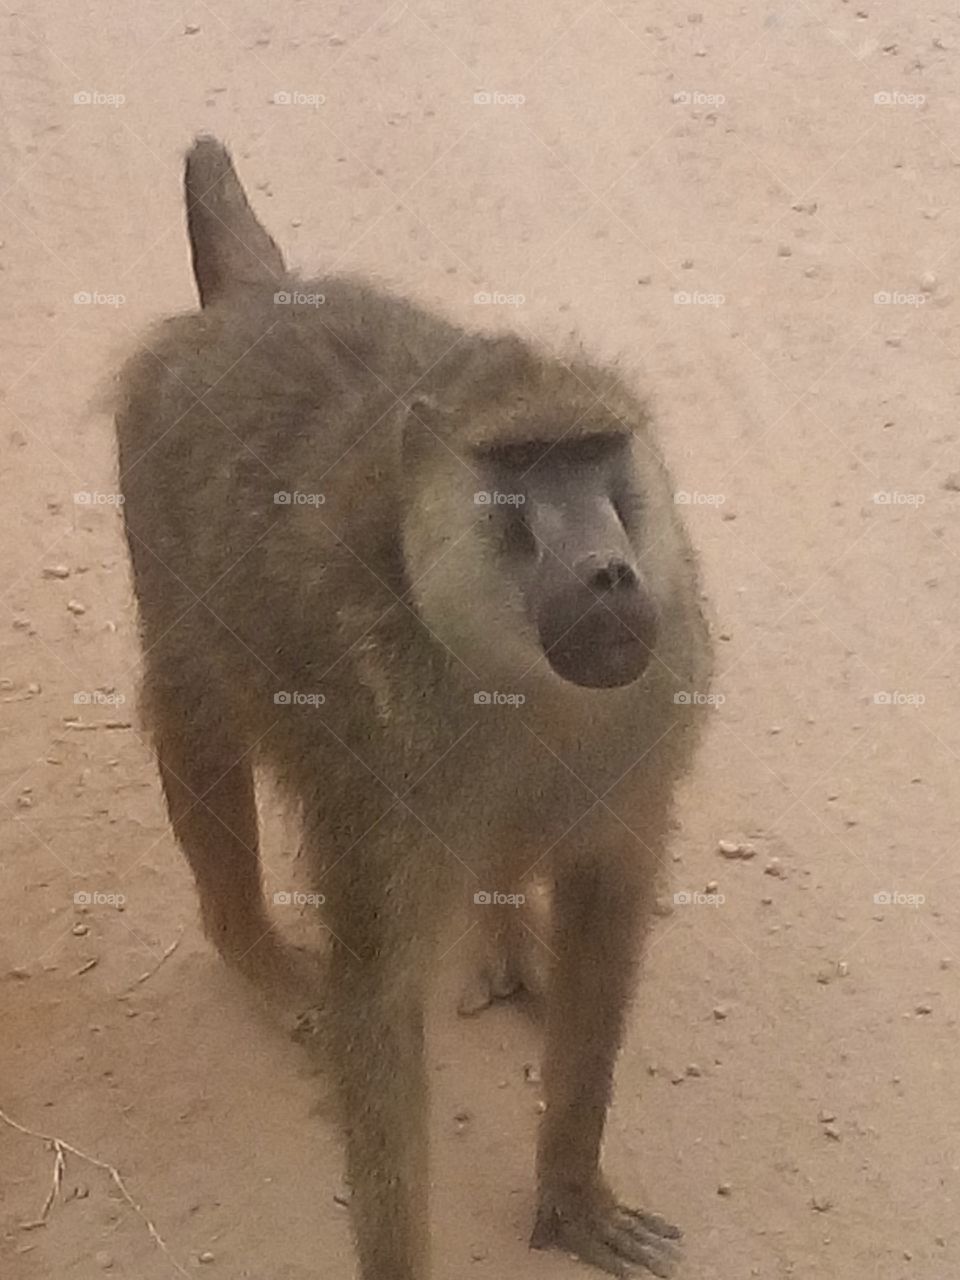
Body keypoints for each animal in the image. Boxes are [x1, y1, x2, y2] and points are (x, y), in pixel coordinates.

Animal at [113, 134, 712, 1280]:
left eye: (594, 454)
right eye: (521, 471)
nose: (609, 573)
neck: (509, 673)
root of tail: (249, 307)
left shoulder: (645, 707)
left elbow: (608, 908)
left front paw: (573, 1191)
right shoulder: (382, 765)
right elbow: (376, 1012)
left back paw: (508, 934)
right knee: (197, 714)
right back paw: (257, 955)